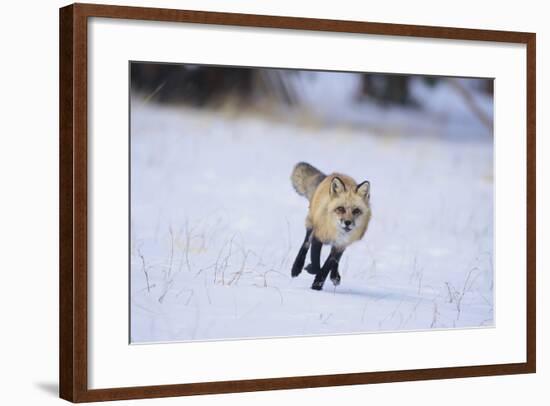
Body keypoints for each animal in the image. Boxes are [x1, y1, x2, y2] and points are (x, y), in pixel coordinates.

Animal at [292, 160, 374, 290]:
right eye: (340, 209)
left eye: (356, 211)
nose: (347, 222)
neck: (336, 233)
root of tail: (333, 174)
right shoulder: (318, 236)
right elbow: (316, 263)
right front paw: (312, 273)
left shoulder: (340, 245)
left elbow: (327, 266)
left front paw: (318, 284)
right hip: (311, 223)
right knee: (305, 244)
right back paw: (296, 267)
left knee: (336, 261)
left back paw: (335, 276)